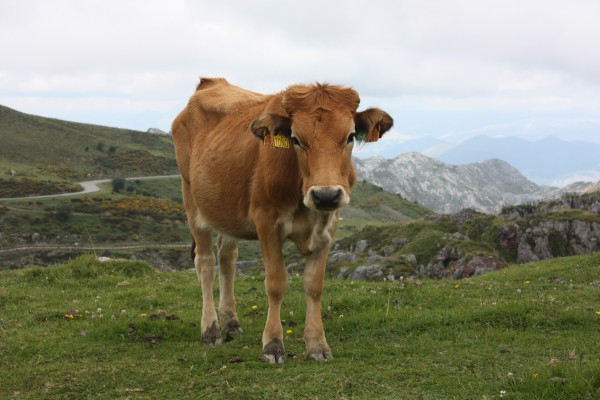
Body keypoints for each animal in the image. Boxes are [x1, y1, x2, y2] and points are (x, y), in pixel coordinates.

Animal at [171, 76, 392, 364]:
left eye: (351, 136)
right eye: (296, 139)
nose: (326, 195)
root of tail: (211, 82)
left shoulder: (329, 223)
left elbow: (314, 285)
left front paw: (317, 344)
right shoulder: (266, 221)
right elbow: (276, 283)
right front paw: (273, 345)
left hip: (227, 212)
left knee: (227, 260)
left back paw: (230, 321)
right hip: (192, 200)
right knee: (206, 264)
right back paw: (210, 329)